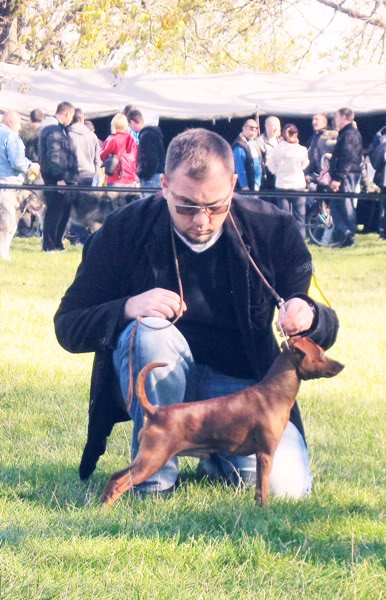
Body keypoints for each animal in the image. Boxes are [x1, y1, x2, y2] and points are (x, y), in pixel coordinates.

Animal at [100, 338, 344, 506]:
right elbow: (263, 488)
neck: (273, 392)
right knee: (120, 484)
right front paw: (265, 509)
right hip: (152, 459)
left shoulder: (260, 456)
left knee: (114, 477)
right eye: (321, 354)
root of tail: (156, 411)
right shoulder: (266, 454)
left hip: (145, 458)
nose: (341, 365)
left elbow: (258, 488)